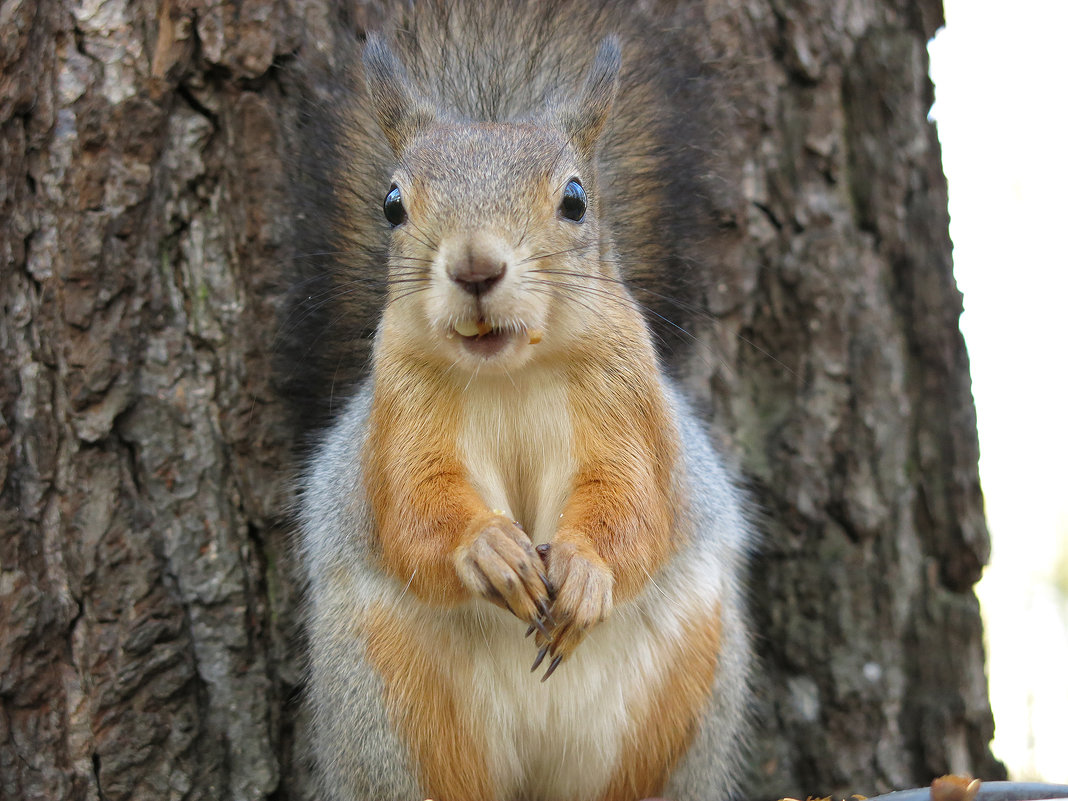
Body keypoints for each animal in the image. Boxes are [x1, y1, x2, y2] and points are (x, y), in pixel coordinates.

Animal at [284, 1, 751, 801]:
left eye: (575, 199)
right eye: (391, 203)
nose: (476, 265)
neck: (509, 372)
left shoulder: (630, 407)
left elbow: (636, 506)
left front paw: (588, 573)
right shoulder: (400, 417)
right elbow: (414, 511)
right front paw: (490, 550)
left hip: (681, 703)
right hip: (395, 712)